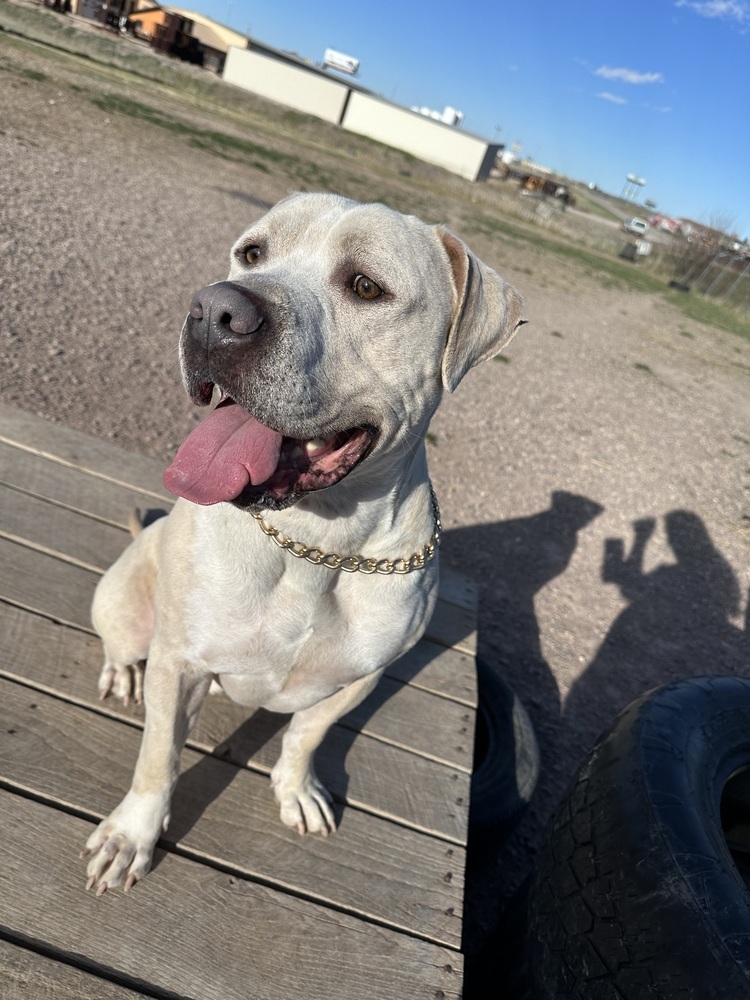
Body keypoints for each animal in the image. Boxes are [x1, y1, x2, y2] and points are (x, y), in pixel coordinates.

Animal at [82, 193, 524, 892]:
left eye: (366, 286)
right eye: (251, 253)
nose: (215, 311)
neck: (320, 541)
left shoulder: (359, 678)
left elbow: (307, 734)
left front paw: (296, 789)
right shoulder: (180, 663)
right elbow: (158, 759)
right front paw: (132, 837)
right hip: (129, 610)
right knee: (123, 646)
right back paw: (124, 673)